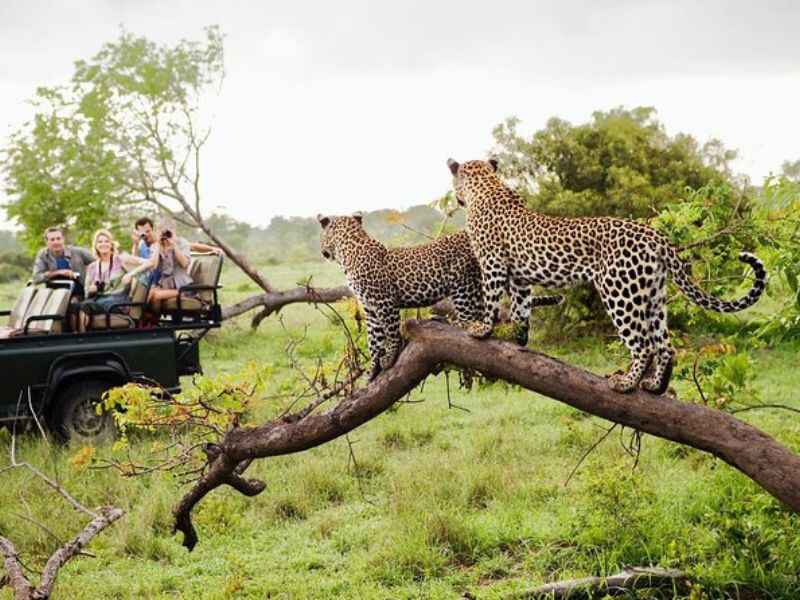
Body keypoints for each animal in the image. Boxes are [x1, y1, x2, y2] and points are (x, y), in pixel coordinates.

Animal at [318, 214, 564, 380]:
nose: (322, 252)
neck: (348, 250)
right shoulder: (370, 309)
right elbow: (373, 340)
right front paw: (371, 370)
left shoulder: (384, 303)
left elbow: (390, 333)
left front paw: (389, 358)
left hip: (463, 285)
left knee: (472, 319)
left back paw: (452, 323)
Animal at [446, 157, 764, 396]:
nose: (457, 198)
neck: (486, 186)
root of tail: (657, 237)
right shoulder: (520, 277)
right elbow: (521, 308)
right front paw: (519, 337)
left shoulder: (492, 263)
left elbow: (491, 299)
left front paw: (482, 329)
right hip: (652, 296)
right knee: (665, 345)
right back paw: (655, 386)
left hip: (619, 292)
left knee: (644, 345)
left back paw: (626, 383)